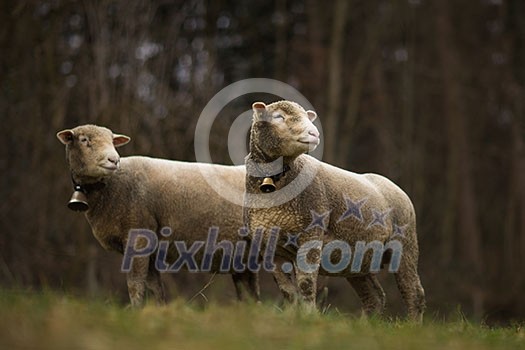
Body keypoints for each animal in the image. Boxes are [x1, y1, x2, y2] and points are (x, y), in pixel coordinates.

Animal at [56, 124, 258, 308]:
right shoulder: (149, 246)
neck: (111, 185)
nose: (114, 160)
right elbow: (155, 286)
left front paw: (136, 311)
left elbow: (135, 283)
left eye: (113, 141)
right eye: (84, 140)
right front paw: (159, 310)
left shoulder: (138, 233)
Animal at [244, 100, 424, 322]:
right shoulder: (270, 247)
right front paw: (293, 317)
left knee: (414, 292)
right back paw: (366, 325)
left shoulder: (311, 232)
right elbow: (288, 290)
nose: (314, 133)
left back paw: (413, 325)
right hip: (358, 258)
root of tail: (395, 187)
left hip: (405, 244)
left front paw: (309, 317)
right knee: (375, 296)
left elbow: (305, 284)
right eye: (278, 117)